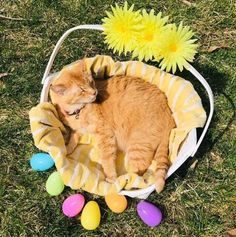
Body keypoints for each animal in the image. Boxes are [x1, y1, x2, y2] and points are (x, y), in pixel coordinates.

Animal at [49, 59, 175, 193]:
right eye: (82, 90)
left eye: (91, 82)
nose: (94, 92)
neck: (78, 111)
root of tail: (169, 117)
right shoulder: (78, 130)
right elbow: (73, 138)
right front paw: (67, 149)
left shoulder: (105, 135)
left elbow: (107, 159)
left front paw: (110, 177)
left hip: (136, 148)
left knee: (137, 174)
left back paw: (127, 181)